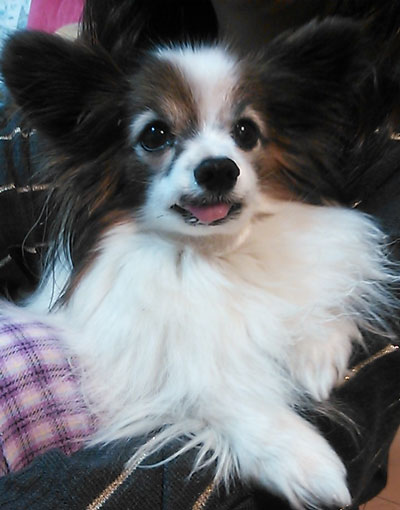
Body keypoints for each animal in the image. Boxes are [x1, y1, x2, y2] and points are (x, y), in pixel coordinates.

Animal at [1, 15, 398, 510]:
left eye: (246, 132)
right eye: (154, 135)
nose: (218, 169)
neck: (211, 256)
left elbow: (317, 298)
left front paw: (317, 354)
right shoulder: (140, 371)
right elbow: (212, 389)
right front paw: (303, 458)